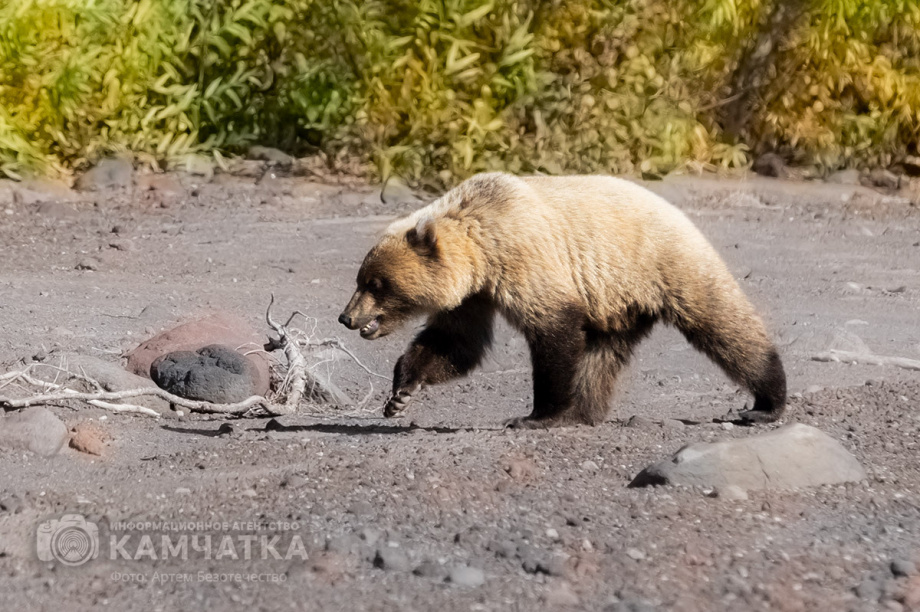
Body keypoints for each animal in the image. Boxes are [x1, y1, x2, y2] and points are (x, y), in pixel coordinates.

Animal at [338, 172, 784, 428]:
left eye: (377, 283)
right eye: (362, 279)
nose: (346, 317)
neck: (482, 249)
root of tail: (680, 213)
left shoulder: (525, 257)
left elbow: (553, 331)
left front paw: (536, 415)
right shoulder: (473, 294)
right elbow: (456, 343)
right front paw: (400, 394)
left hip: (663, 263)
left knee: (722, 324)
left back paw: (767, 401)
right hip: (616, 301)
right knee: (602, 356)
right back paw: (583, 411)